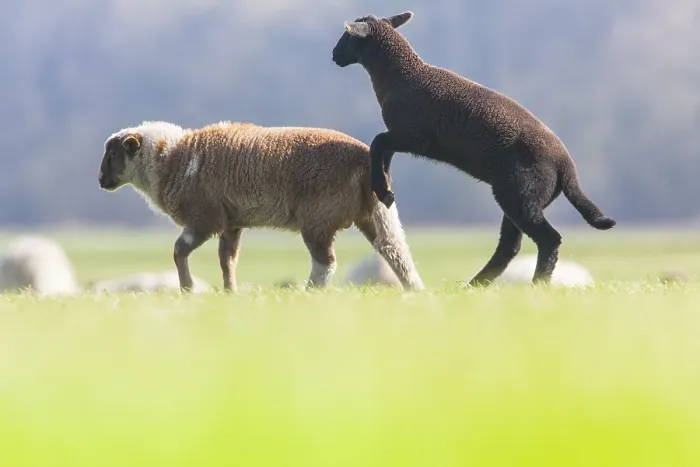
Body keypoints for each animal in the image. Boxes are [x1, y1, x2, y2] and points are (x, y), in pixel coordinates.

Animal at [97, 120, 425, 293]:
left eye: (111, 155)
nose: (100, 181)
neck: (170, 161)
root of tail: (367, 160)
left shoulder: (206, 218)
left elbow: (179, 251)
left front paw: (188, 289)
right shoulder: (231, 222)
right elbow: (227, 260)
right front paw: (230, 292)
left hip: (318, 218)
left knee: (326, 262)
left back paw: (308, 293)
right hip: (377, 213)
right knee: (395, 251)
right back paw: (415, 291)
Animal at [331, 11, 616, 287]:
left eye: (348, 35)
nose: (334, 55)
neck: (401, 75)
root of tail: (567, 169)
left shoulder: (414, 136)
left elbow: (378, 142)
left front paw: (383, 190)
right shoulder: (402, 135)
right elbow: (382, 150)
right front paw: (384, 188)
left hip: (521, 193)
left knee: (548, 239)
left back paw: (537, 284)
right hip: (520, 196)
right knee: (510, 246)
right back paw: (474, 285)